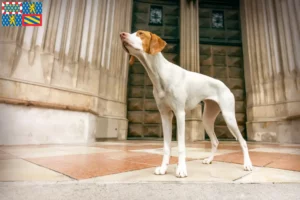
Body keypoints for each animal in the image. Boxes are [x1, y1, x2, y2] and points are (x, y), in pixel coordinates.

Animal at [120, 30, 253, 177]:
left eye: (140, 34)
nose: (121, 34)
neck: (160, 74)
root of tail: (225, 86)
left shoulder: (179, 114)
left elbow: (181, 146)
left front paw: (181, 169)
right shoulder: (165, 116)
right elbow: (166, 147)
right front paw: (163, 168)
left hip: (229, 118)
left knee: (243, 141)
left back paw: (247, 164)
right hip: (207, 120)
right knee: (215, 141)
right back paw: (209, 159)